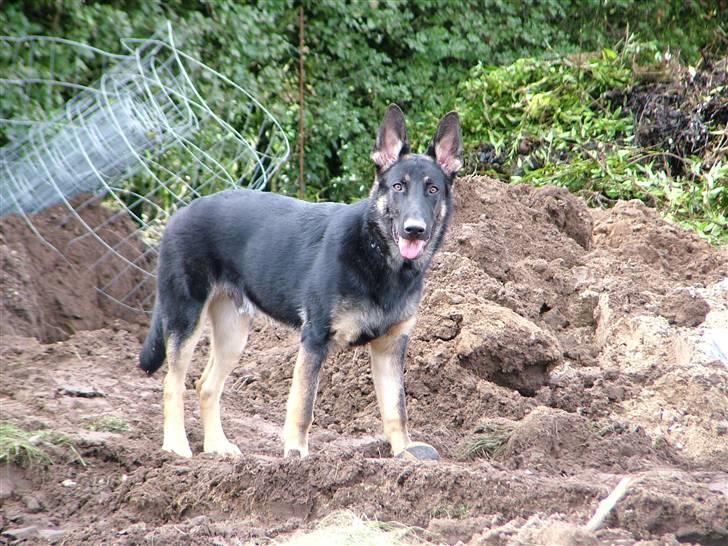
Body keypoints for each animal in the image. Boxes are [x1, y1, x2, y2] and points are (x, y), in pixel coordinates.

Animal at [139, 103, 464, 460]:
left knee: (206, 385)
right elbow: (302, 406)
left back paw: (216, 447)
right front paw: (296, 455)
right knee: (172, 383)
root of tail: (180, 212)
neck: (379, 255)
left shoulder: (390, 348)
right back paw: (176, 445)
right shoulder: (315, 340)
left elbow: (397, 409)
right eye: (398, 187)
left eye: (433, 189)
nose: (414, 230)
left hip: (232, 333)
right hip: (186, 320)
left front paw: (405, 452)